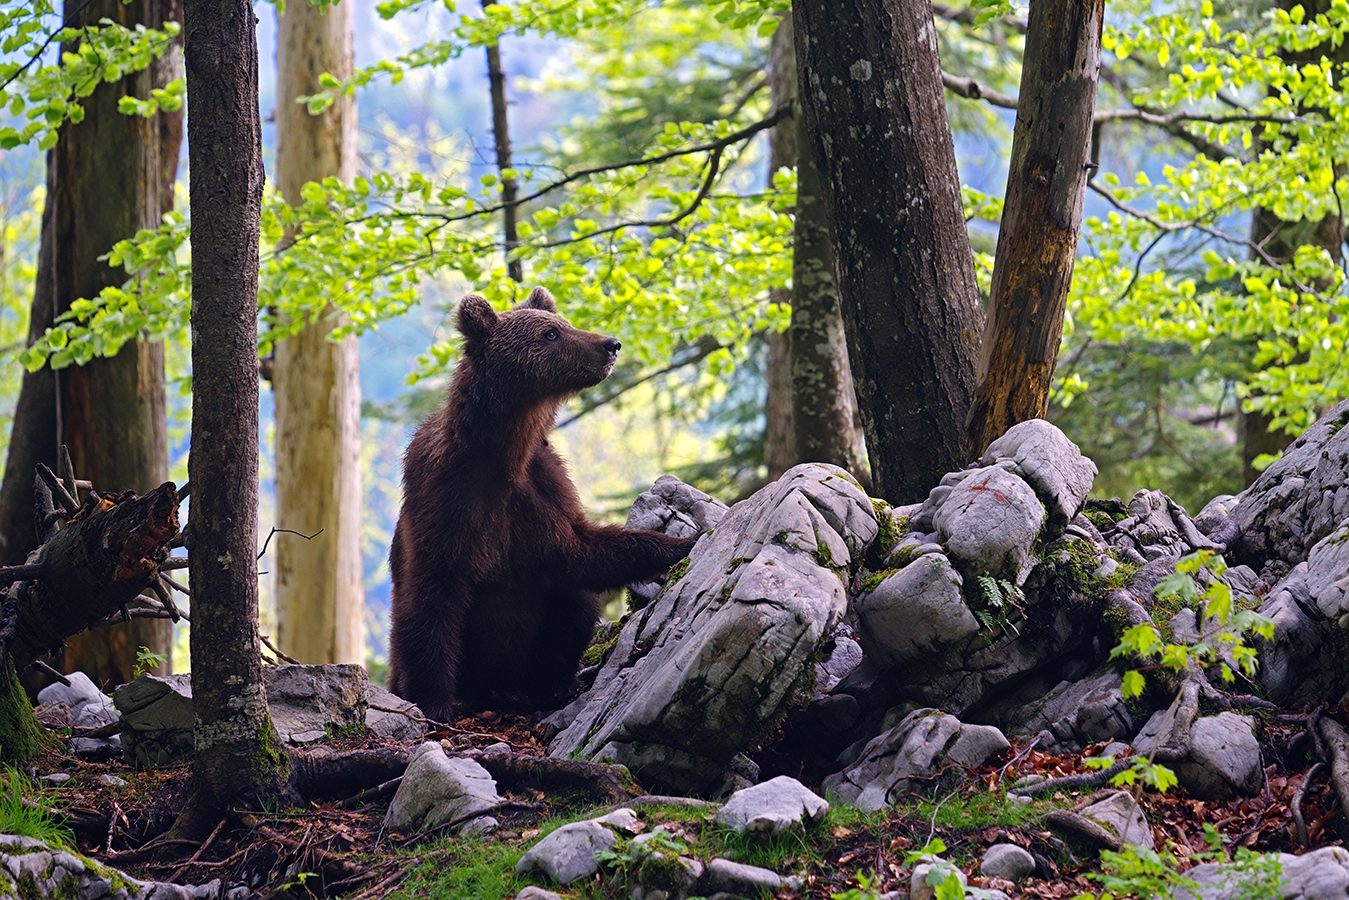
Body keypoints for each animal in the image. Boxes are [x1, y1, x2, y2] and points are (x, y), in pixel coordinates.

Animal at [386, 286, 699, 720]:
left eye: (564, 323)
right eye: (551, 334)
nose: (611, 344)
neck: (501, 454)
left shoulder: (541, 491)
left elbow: (581, 549)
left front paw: (685, 542)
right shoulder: (448, 499)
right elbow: (434, 594)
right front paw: (435, 703)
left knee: (573, 604)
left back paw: (549, 687)